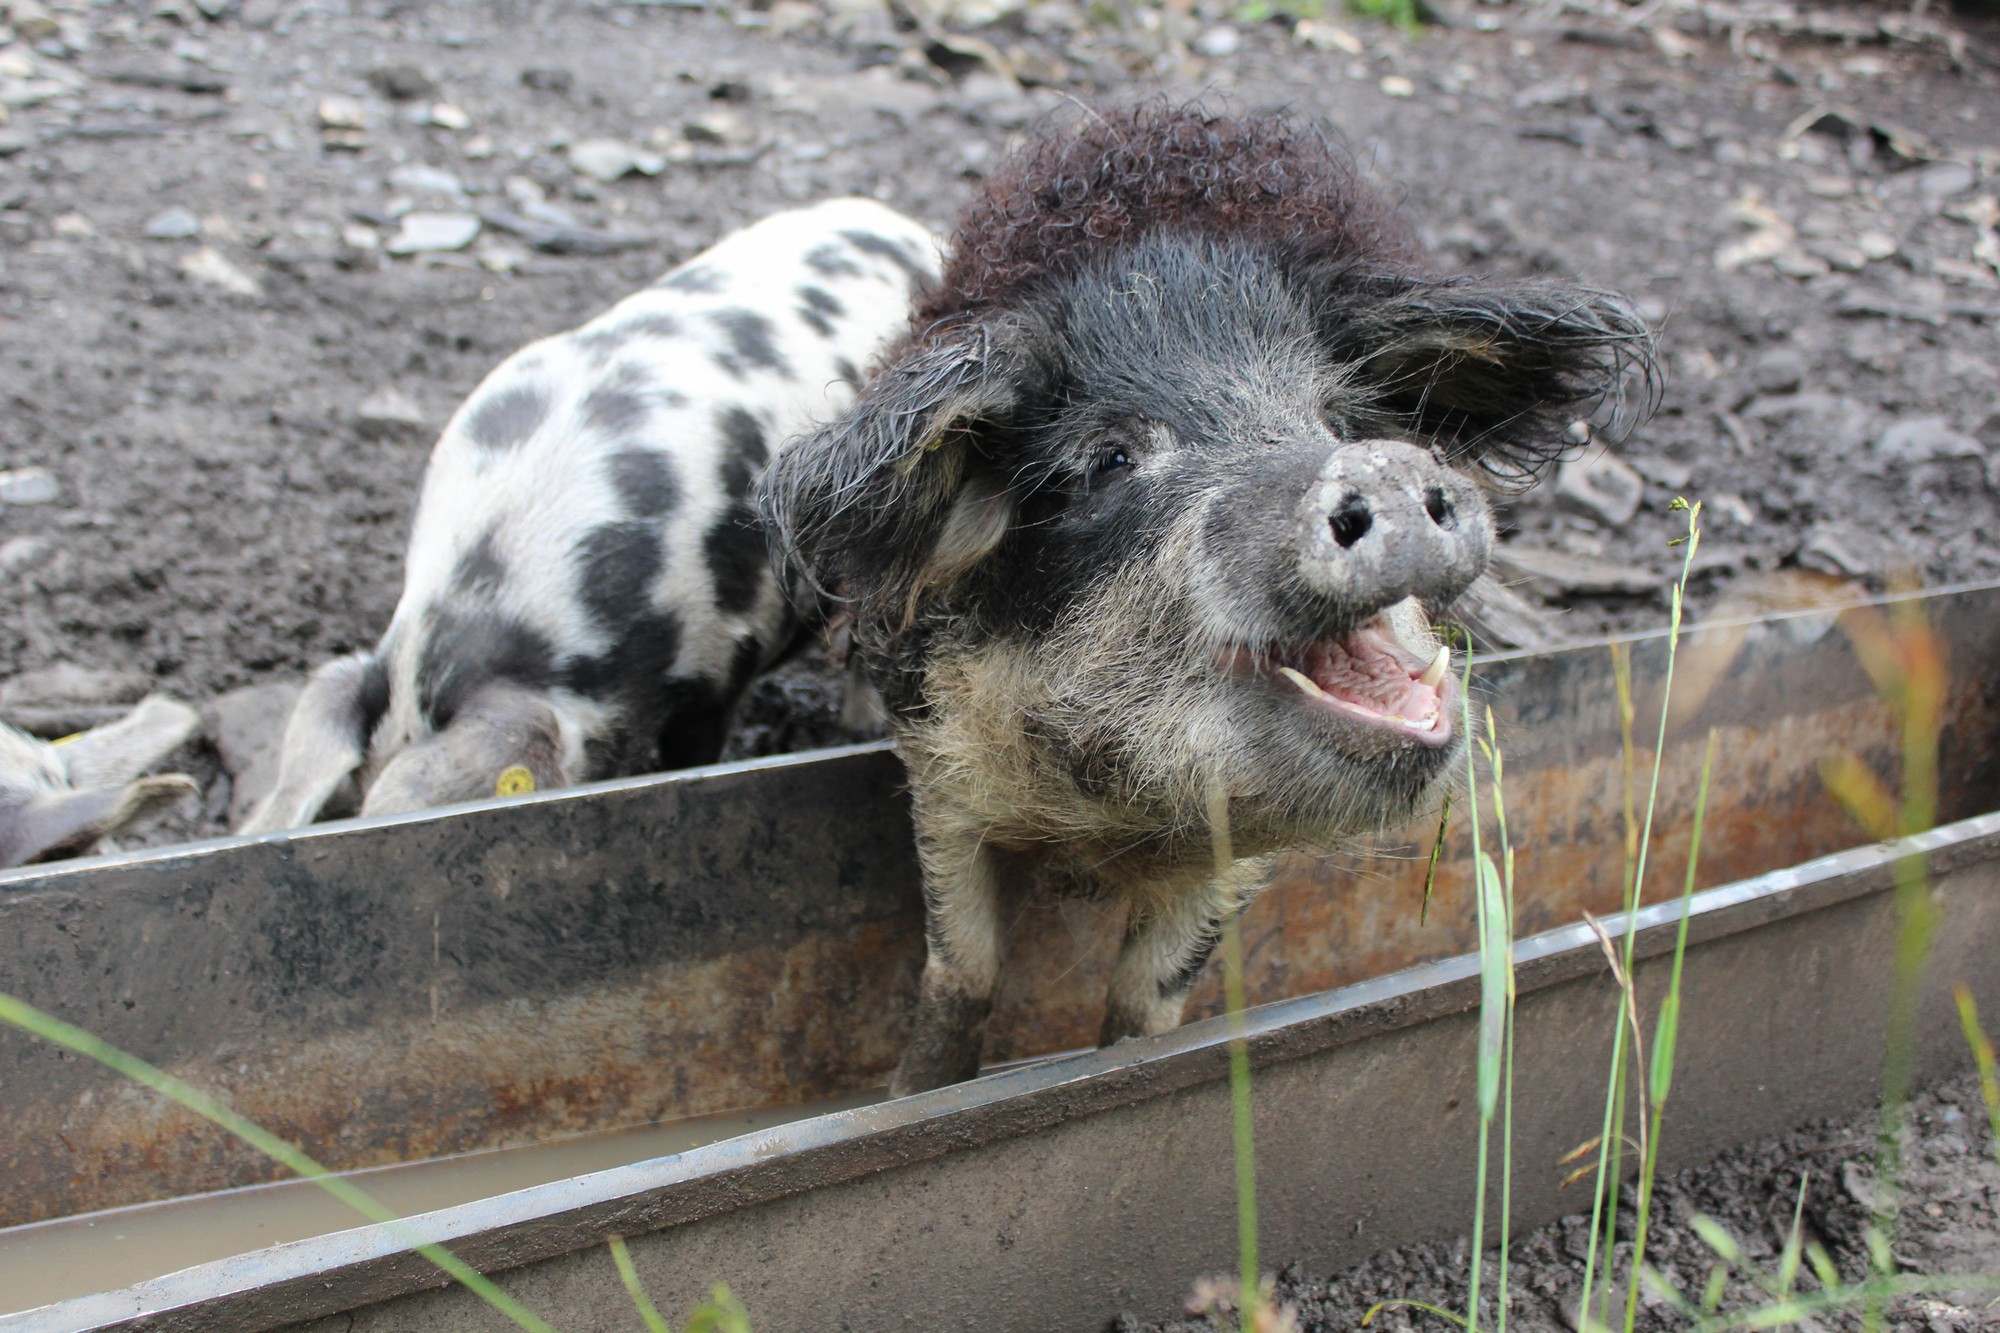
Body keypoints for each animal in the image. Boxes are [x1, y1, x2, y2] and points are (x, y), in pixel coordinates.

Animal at [759, 105, 1660, 1095]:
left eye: (1338, 421)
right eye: (1109, 459)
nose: (1380, 465)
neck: (1117, 812)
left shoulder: (1237, 854)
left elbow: (1148, 1006)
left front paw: (1125, 1068)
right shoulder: (939, 766)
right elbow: (963, 973)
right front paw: (914, 1093)